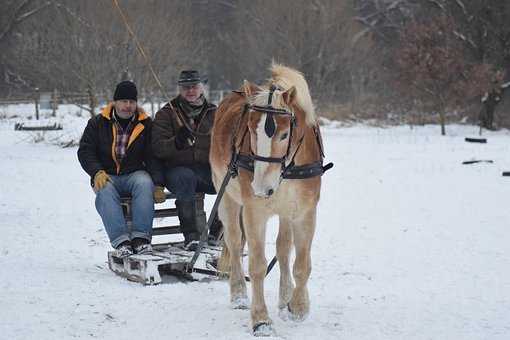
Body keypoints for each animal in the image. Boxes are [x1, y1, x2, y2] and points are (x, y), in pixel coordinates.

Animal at [210, 63, 330, 334]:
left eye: (285, 135)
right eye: (251, 131)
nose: (262, 189)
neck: (286, 169)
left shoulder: (305, 212)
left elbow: (301, 264)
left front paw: (298, 306)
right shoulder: (254, 212)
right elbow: (256, 265)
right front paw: (261, 319)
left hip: (285, 211)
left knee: (283, 249)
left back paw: (285, 298)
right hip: (227, 197)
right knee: (234, 243)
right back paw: (239, 294)